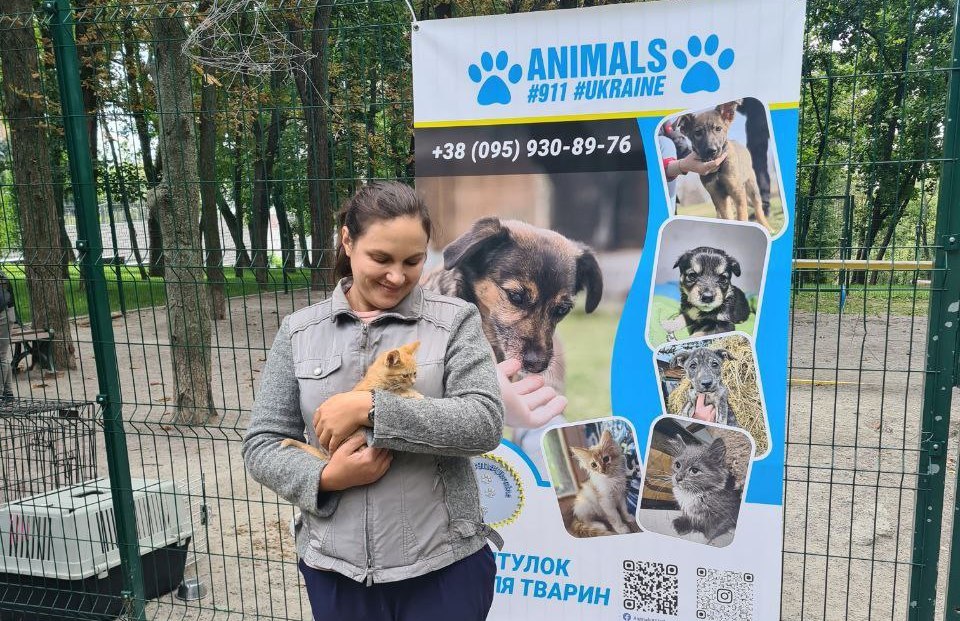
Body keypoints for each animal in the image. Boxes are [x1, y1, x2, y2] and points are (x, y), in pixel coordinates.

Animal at [282, 342, 424, 458]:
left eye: (415, 374)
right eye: (405, 375)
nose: (413, 382)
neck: (378, 376)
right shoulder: (368, 390)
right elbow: (394, 391)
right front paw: (412, 393)